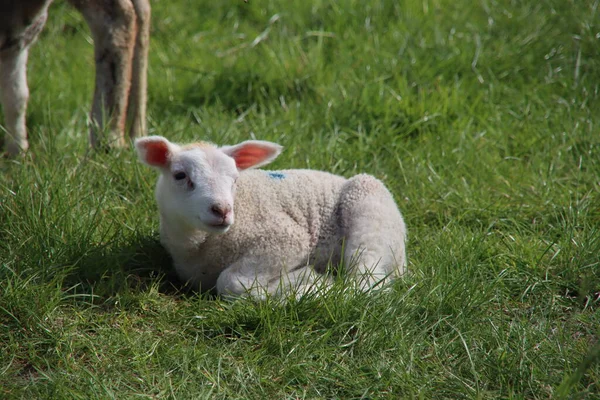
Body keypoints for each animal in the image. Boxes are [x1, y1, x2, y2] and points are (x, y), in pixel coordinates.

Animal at [136, 136, 408, 298]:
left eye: (235, 179)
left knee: (366, 282)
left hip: (368, 212)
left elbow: (230, 282)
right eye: (180, 175)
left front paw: (304, 282)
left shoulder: (285, 239)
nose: (222, 210)